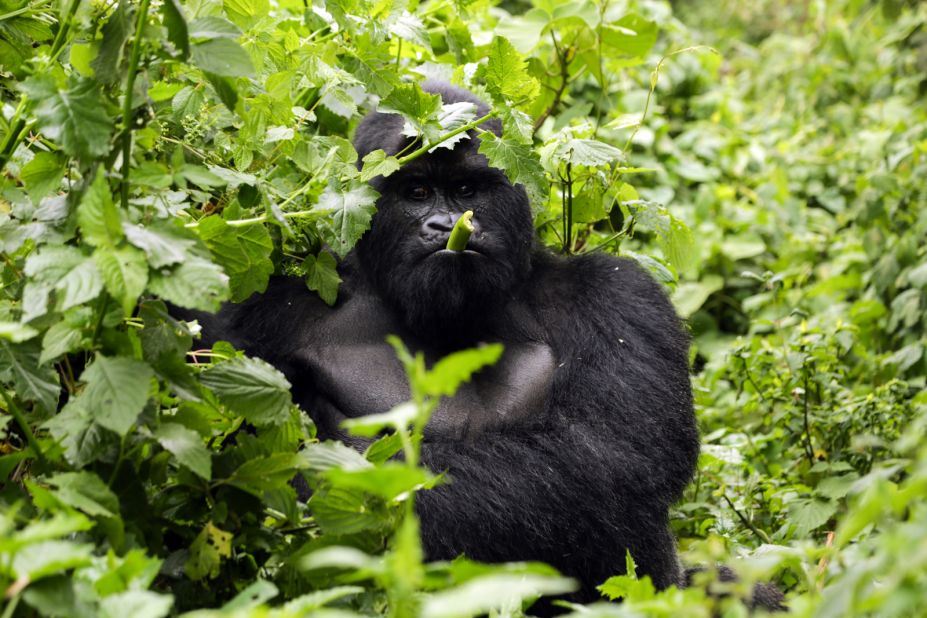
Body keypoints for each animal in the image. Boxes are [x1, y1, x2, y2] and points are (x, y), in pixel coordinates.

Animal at [183, 83, 704, 608]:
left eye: (467, 190)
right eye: (416, 192)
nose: (447, 224)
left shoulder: (618, 294)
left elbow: (609, 456)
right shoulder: (266, 311)